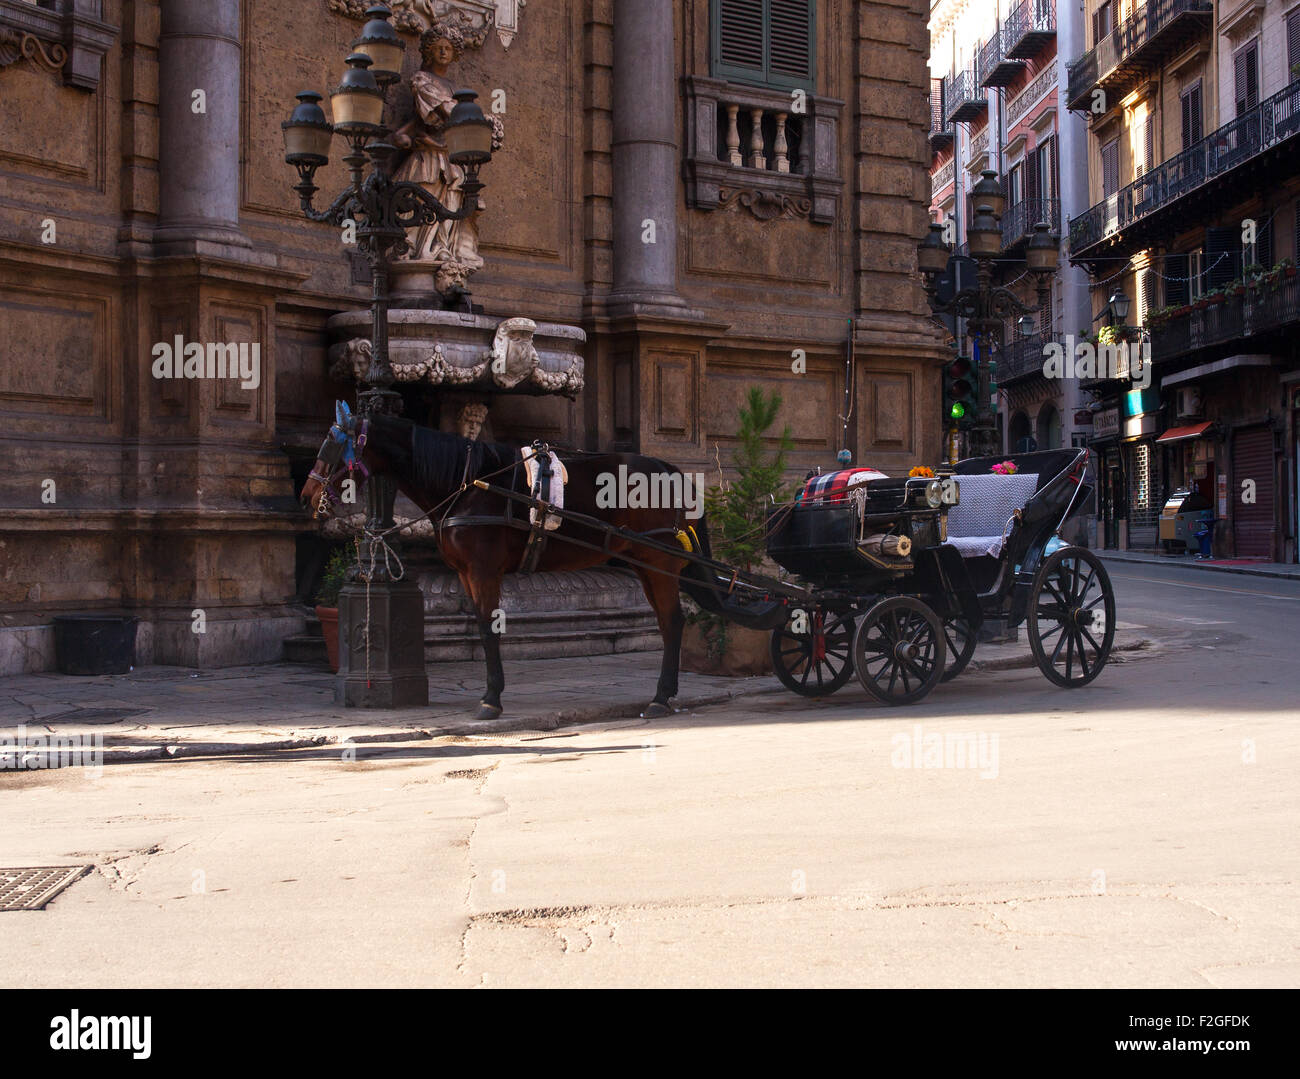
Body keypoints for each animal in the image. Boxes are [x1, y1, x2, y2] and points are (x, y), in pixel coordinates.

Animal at [299, 400, 728, 722]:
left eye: (331, 445)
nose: (306, 495)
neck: (468, 483)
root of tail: (672, 471)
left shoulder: (483, 571)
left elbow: (489, 629)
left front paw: (491, 698)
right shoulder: (466, 574)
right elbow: (483, 626)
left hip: (660, 564)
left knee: (672, 622)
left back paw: (661, 696)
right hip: (646, 565)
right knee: (668, 623)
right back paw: (665, 693)